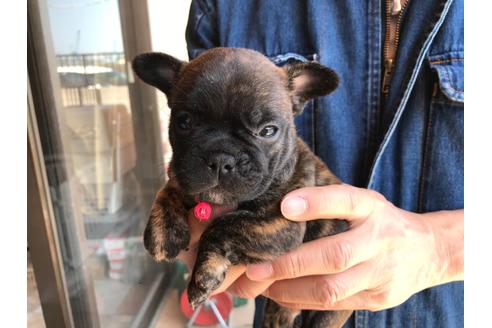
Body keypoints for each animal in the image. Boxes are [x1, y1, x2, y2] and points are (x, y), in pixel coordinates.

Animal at [133, 47, 352, 326]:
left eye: (267, 131)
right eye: (184, 122)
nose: (220, 158)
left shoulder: (280, 224)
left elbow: (224, 224)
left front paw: (204, 276)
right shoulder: (182, 175)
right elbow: (170, 189)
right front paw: (162, 232)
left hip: (329, 312)